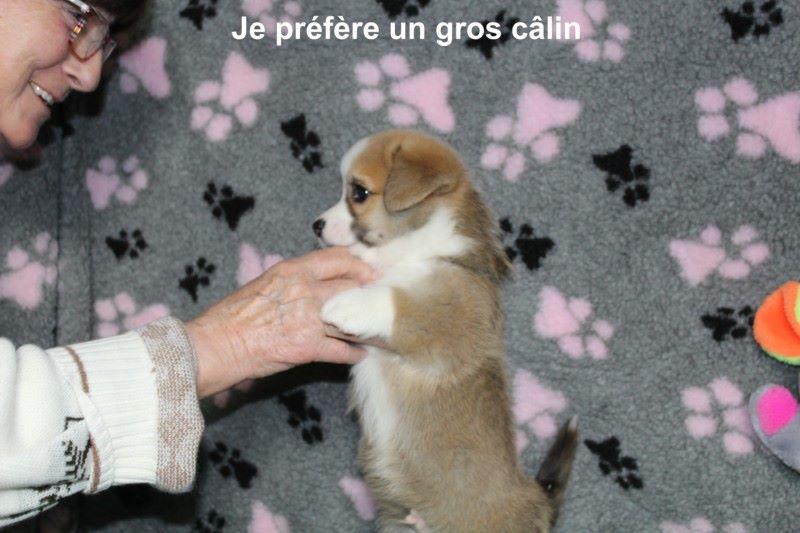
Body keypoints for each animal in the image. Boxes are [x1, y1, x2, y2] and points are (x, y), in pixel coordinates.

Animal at [315, 129, 577, 532]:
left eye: (358, 192)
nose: (316, 225)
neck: (416, 248)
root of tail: (539, 504)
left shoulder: (454, 316)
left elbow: (398, 301)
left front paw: (345, 305)